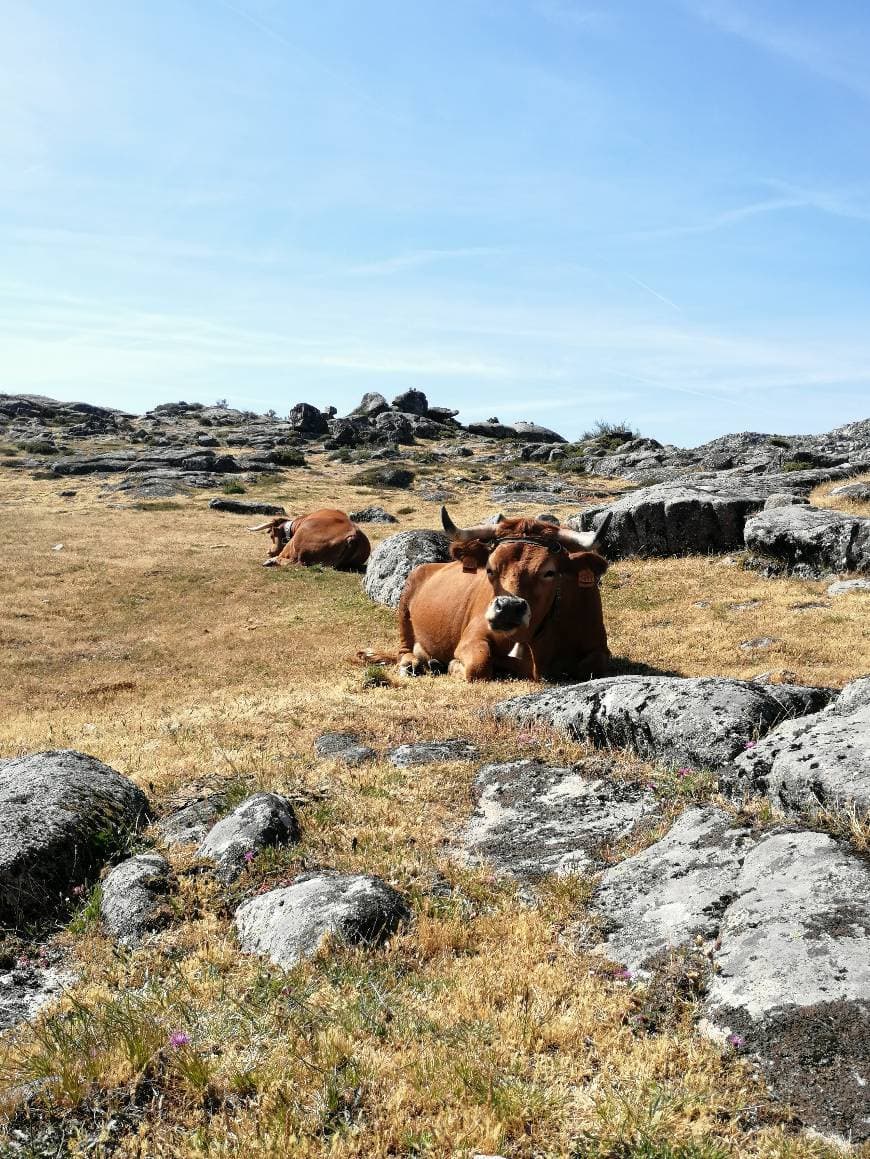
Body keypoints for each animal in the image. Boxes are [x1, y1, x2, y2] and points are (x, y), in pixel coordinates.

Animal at [386, 505, 611, 676]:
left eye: (549, 572)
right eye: (489, 569)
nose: (509, 608)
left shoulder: (599, 645)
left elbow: (595, 664)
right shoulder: (474, 634)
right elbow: (479, 665)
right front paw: (453, 664)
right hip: (404, 608)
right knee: (403, 649)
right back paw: (413, 664)